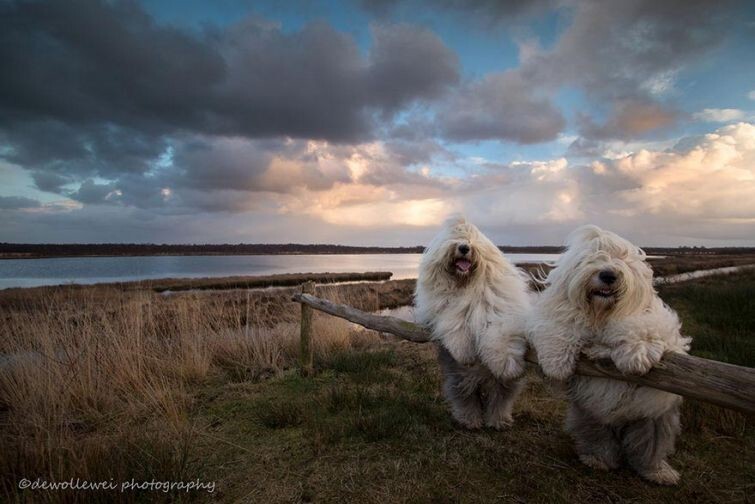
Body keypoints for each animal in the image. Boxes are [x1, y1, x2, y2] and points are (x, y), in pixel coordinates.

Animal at [414, 216, 532, 430]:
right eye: (455, 237)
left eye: (473, 238)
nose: (463, 247)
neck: (467, 284)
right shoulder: (446, 312)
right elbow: (456, 327)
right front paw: (465, 354)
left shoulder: (497, 311)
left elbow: (498, 334)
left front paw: (506, 365)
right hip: (459, 379)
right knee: (465, 398)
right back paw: (470, 421)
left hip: (502, 386)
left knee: (500, 399)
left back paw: (498, 421)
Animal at [524, 224, 692, 484]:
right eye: (592, 257)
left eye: (623, 258)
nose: (608, 275)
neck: (600, 315)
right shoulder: (555, 315)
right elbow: (559, 326)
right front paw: (556, 362)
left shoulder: (657, 325)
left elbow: (641, 328)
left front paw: (636, 356)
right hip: (591, 414)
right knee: (599, 438)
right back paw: (598, 459)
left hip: (654, 419)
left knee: (650, 446)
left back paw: (658, 472)